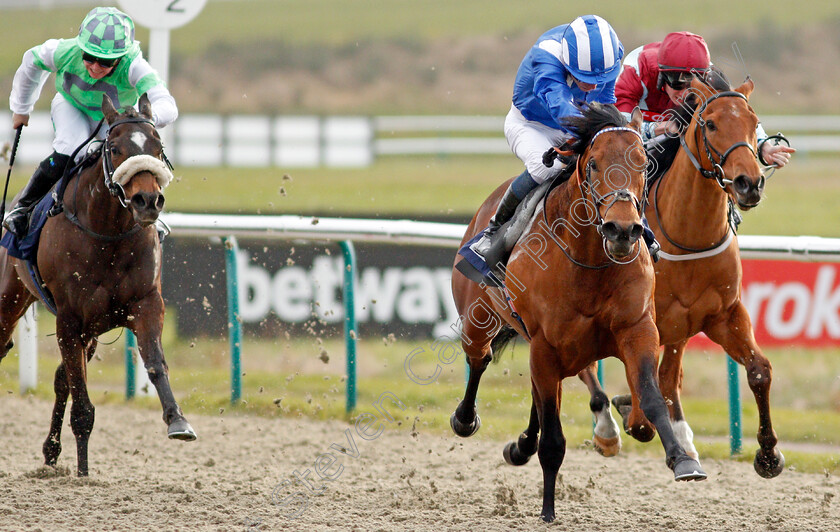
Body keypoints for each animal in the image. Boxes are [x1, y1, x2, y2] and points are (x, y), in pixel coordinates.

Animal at [0, 93, 195, 476]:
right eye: (115, 148)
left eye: (158, 146)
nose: (148, 201)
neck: (108, 234)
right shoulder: (69, 319)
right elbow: (82, 402)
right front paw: (83, 473)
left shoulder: (146, 303)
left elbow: (155, 362)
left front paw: (177, 420)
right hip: (10, 297)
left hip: (90, 330)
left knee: (62, 378)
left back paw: (51, 451)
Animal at [450, 105, 704, 524]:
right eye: (595, 163)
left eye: (643, 163)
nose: (622, 230)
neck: (589, 261)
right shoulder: (545, 345)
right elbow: (553, 438)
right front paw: (548, 510)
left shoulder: (637, 330)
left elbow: (651, 399)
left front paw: (682, 459)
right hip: (478, 319)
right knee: (480, 358)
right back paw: (466, 419)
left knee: (539, 394)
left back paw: (521, 445)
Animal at [580, 74, 784, 478]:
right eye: (711, 124)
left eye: (753, 123)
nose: (749, 183)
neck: (690, 237)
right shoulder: (641, 321)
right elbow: (643, 400)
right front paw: (629, 412)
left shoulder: (723, 315)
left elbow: (759, 370)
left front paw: (768, 454)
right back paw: (608, 429)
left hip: (682, 326)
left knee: (670, 377)